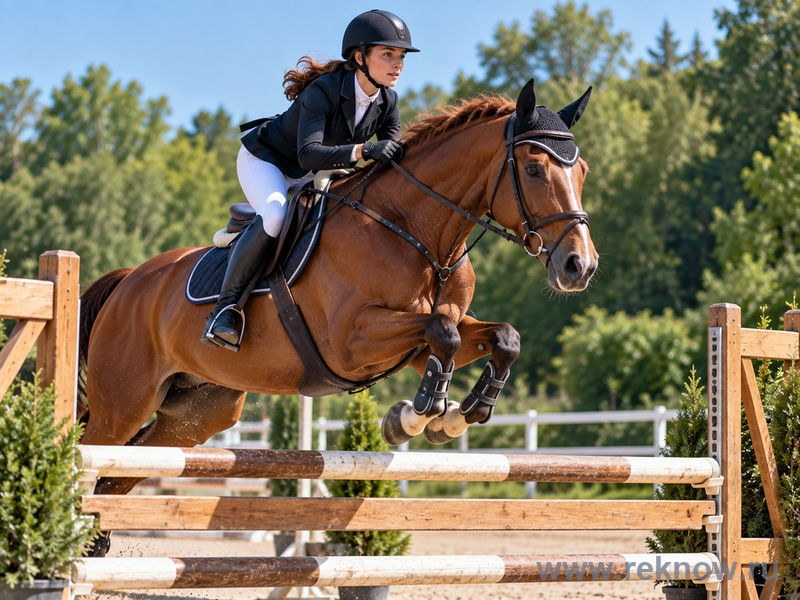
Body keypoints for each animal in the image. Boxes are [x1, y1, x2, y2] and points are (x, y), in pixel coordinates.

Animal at [79, 78, 598, 498]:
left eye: (583, 171)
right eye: (533, 169)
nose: (580, 266)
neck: (417, 231)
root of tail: (130, 281)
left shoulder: (419, 342)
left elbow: (501, 337)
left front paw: (454, 416)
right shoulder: (352, 342)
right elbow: (443, 337)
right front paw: (413, 416)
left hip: (199, 412)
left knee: (122, 470)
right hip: (124, 402)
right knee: (92, 451)